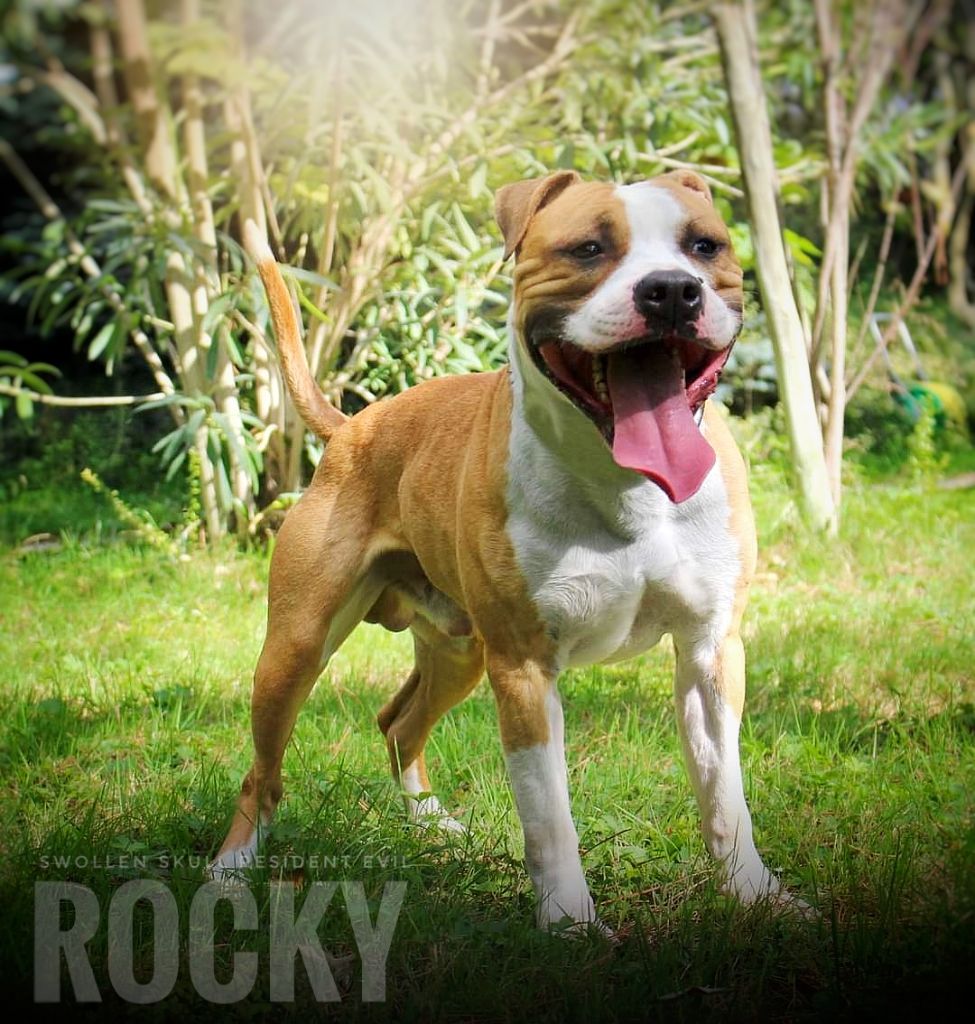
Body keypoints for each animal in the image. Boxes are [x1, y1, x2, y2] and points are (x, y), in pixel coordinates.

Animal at [210, 169, 791, 932]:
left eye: (704, 246)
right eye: (587, 248)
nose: (671, 291)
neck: (624, 482)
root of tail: (352, 425)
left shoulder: (709, 653)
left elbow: (725, 795)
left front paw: (756, 896)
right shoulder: (522, 669)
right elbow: (548, 817)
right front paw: (571, 925)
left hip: (459, 649)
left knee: (397, 723)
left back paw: (431, 827)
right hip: (297, 648)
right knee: (263, 770)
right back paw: (231, 870)